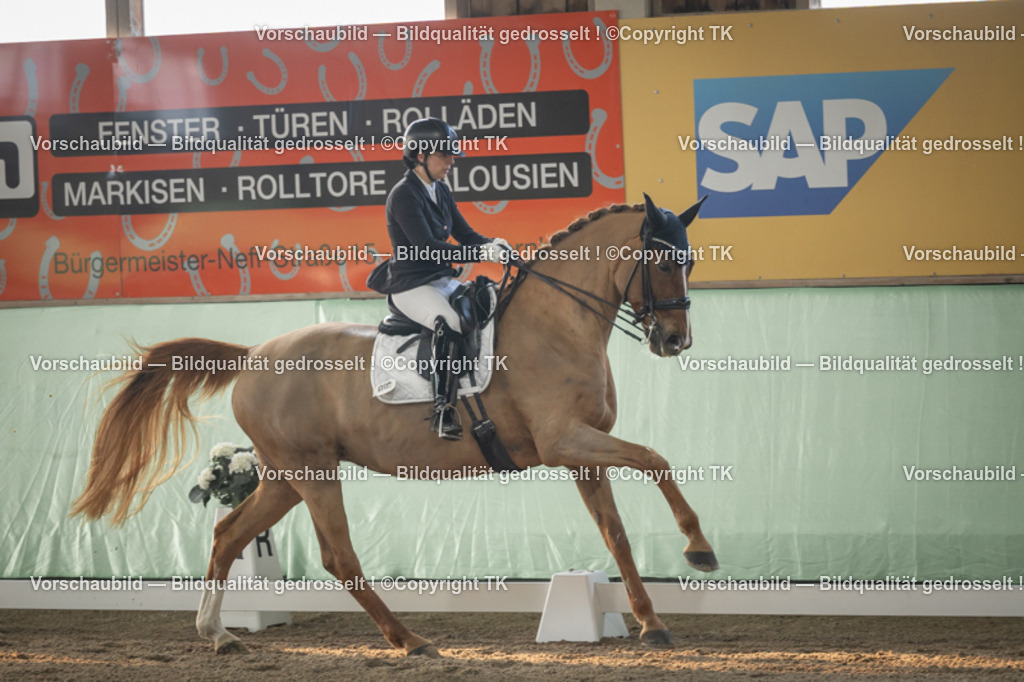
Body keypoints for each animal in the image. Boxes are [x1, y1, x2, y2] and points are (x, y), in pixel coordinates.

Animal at [70, 194, 717, 658]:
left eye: (689, 261)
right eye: (664, 260)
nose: (675, 340)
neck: (558, 323)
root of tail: (254, 354)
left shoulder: (582, 453)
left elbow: (617, 534)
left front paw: (651, 623)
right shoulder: (564, 442)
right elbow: (656, 459)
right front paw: (699, 550)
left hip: (283, 475)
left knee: (228, 535)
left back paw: (220, 634)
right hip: (312, 472)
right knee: (338, 558)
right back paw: (411, 641)